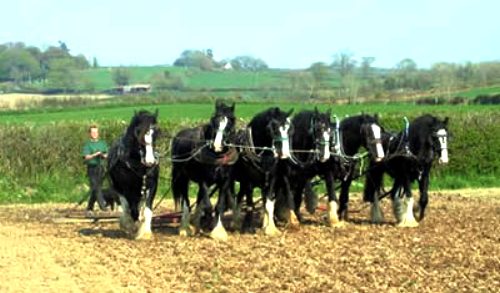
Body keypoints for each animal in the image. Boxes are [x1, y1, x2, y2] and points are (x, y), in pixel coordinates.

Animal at [106, 108, 159, 238]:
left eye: (156, 132)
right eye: (138, 131)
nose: (150, 161)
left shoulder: (152, 185)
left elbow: (147, 209)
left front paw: (145, 232)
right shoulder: (126, 188)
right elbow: (130, 209)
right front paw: (131, 227)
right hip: (118, 188)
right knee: (127, 207)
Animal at [170, 100, 236, 240]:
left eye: (230, 123)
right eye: (214, 121)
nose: (217, 145)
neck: (217, 156)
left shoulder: (224, 181)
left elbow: (219, 206)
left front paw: (218, 231)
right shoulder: (203, 180)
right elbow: (209, 206)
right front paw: (207, 224)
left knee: (199, 199)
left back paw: (196, 224)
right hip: (182, 177)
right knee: (186, 202)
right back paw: (185, 228)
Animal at [230, 106, 292, 235]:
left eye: (290, 129)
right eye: (273, 128)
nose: (285, 154)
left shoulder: (271, 180)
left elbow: (268, 203)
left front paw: (270, 228)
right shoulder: (248, 182)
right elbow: (250, 205)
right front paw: (248, 228)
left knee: (240, 197)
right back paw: (234, 222)